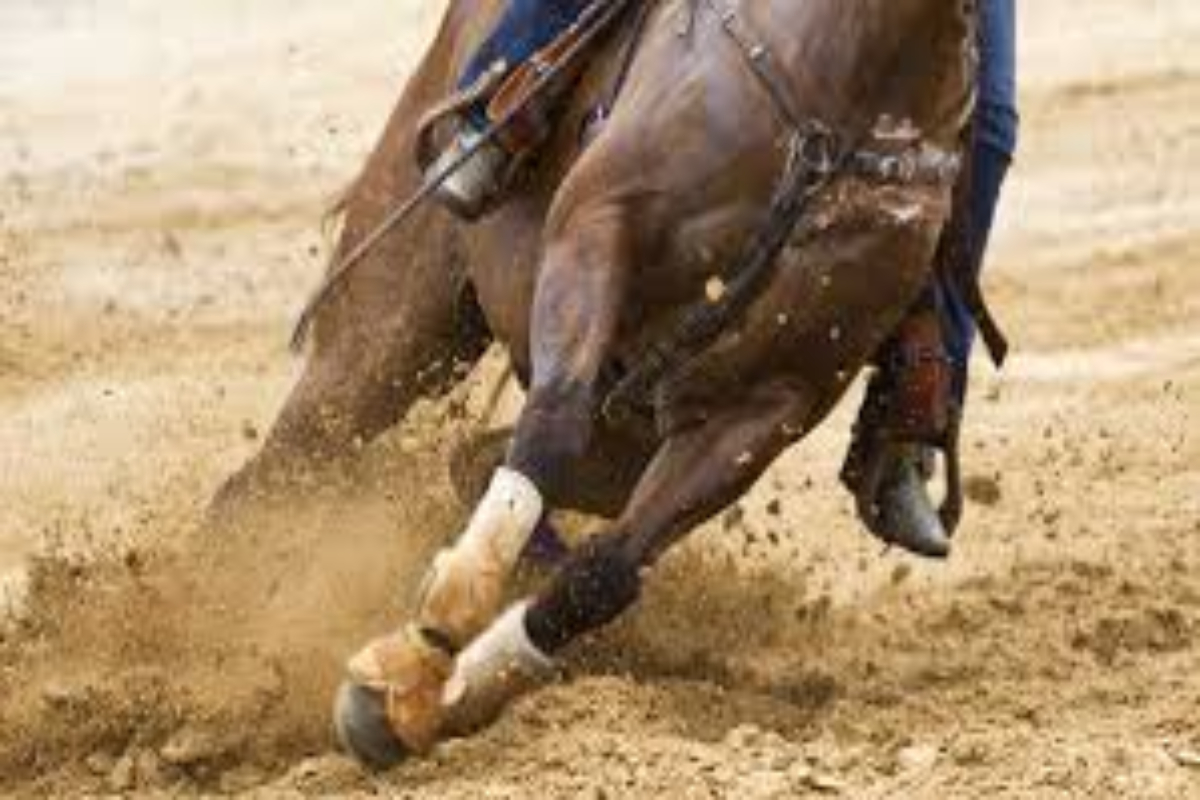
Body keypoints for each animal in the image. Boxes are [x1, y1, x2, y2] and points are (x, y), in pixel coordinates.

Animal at [215, 0, 977, 769]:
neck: (850, 74)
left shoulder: (769, 401)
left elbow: (603, 573)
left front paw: (425, 694)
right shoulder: (596, 228)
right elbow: (553, 426)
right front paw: (426, 647)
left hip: (618, 446)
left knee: (473, 462)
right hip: (388, 335)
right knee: (268, 480)